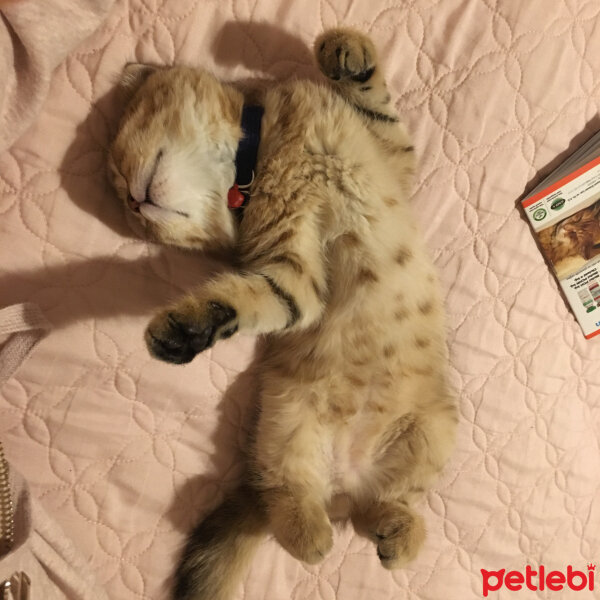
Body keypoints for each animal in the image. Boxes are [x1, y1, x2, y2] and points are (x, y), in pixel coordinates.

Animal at [108, 27, 458, 600]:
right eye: (119, 198)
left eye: (116, 169)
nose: (133, 207)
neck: (260, 159)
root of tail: (345, 477)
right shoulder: (295, 275)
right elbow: (245, 299)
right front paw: (186, 329)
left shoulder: (393, 161)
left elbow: (381, 106)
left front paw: (346, 52)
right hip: (287, 426)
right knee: (283, 498)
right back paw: (313, 534)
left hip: (431, 433)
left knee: (383, 504)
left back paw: (396, 532)